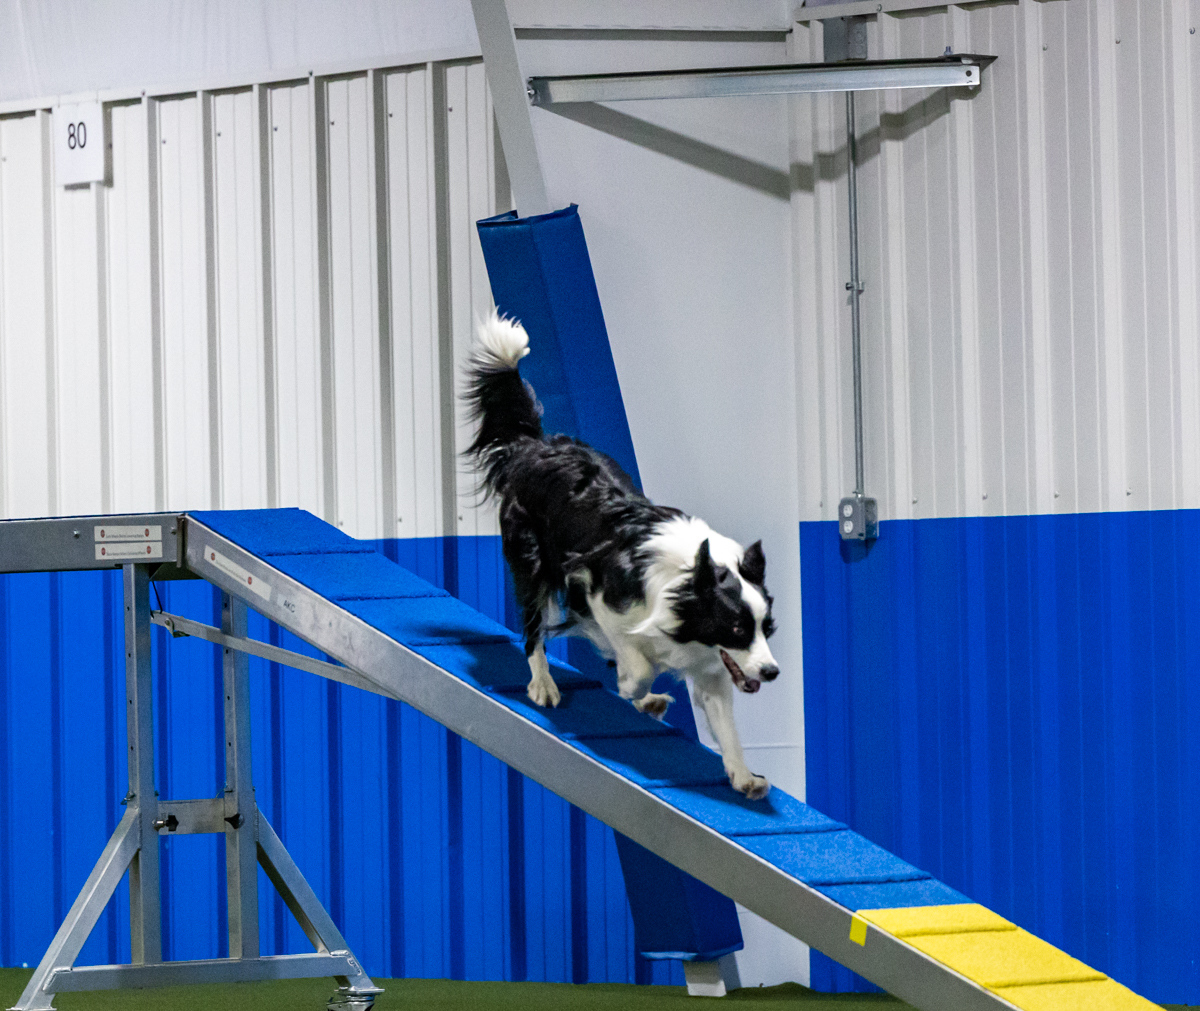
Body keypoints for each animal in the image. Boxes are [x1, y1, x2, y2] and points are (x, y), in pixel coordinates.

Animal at [463, 311, 778, 800]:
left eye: (767, 629)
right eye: (737, 628)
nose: (771, 671)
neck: (689, 580)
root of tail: (536, 446)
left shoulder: (711, 664)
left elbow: (725, 724)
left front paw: (744, 776)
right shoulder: (597, 592)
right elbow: (634, 656)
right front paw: (632, 685)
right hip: (531, 563)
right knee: (534, 629)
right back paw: (544, 684)